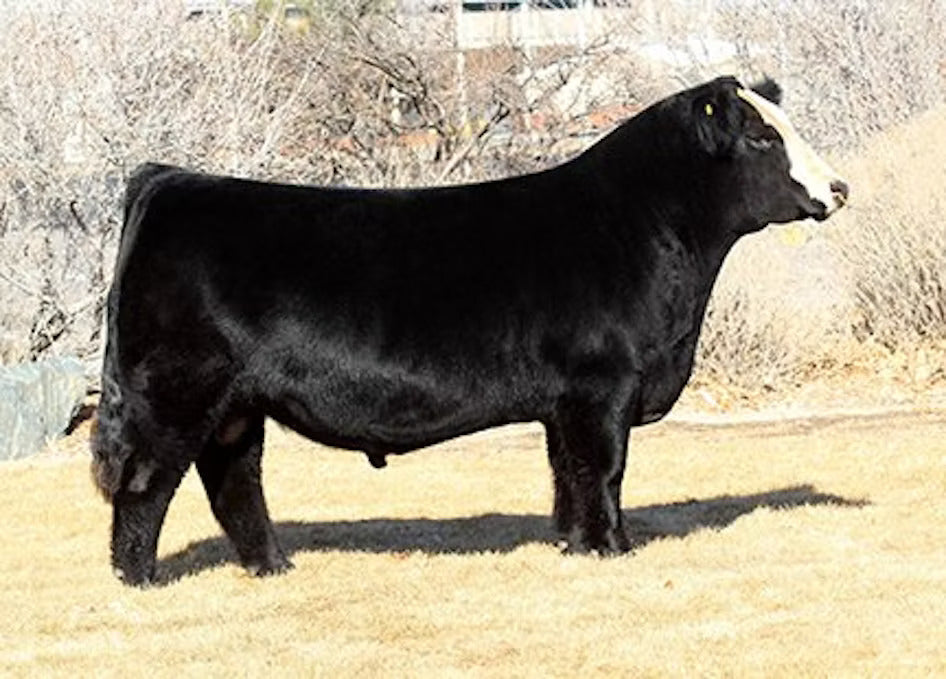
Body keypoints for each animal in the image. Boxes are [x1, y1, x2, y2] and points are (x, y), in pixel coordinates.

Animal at [91, 76, 848, 586]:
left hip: (237, 405)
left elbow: (567, 472)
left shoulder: (565, 403)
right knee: (145, 481)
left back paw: (274, 565)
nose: (838, 188)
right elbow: (604, 469)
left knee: (233, 480)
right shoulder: (603, 387)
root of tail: (170, 178)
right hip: (175, 390)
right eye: (762, 137)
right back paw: (138, 580)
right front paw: (613, 547)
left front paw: (574, 543)